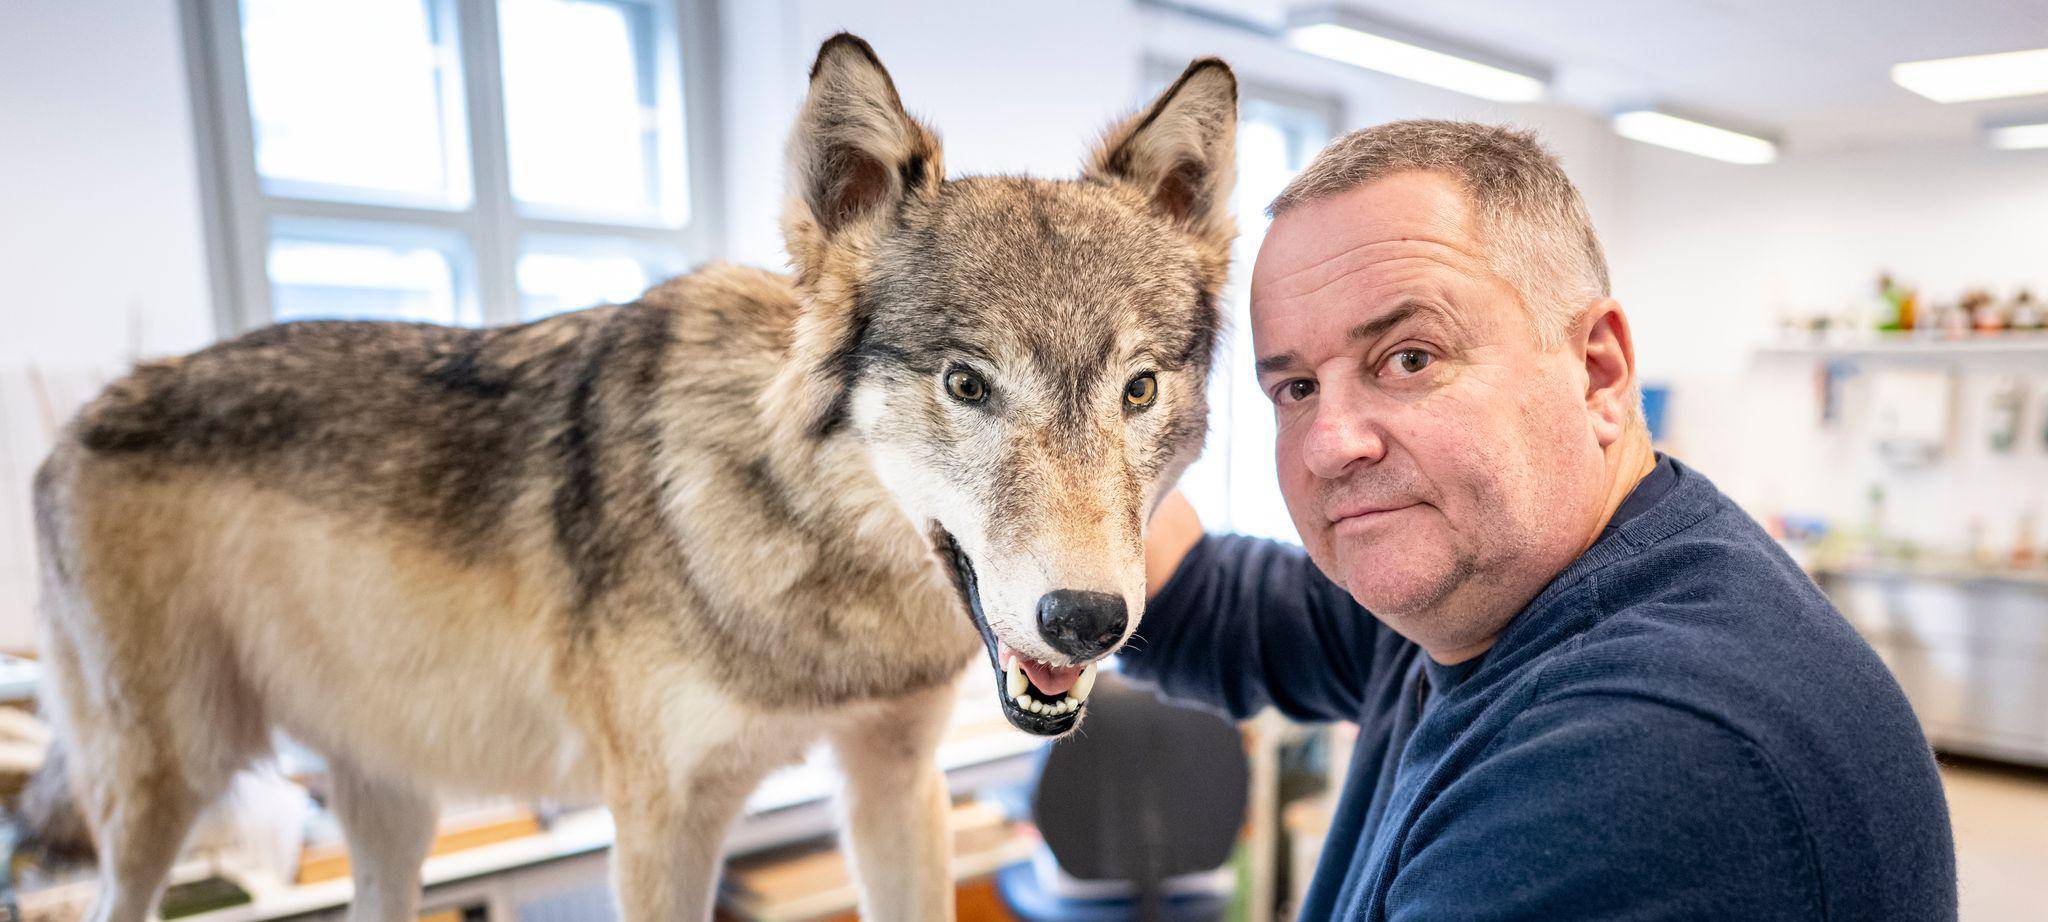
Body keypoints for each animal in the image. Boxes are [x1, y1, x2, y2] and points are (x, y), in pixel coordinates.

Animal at [25, 33, 1236, 922]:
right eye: (966, 382)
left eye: (1137, 390)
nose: (1088, 620)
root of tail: (75, 421)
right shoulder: (660, 821)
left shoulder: (895, 780)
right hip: (162, 795)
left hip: (391, 807)